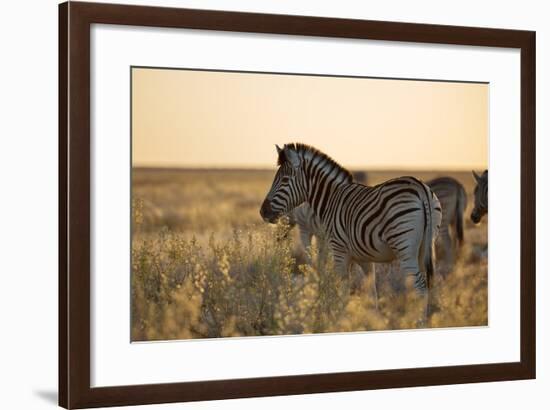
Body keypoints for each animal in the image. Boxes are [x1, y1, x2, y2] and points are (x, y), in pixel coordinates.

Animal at [264, 143, 444, 322]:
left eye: (284, 180)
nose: (262, 211)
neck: (330, 200)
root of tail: (421, 187)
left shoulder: (339, 251)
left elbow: (344, 290)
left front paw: (341, 319)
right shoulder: (364, 257)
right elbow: (371, 290)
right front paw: (374, 320)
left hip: (404, 247)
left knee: (419, 287)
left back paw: (419, 322)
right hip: (425, 246)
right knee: (425, 285)